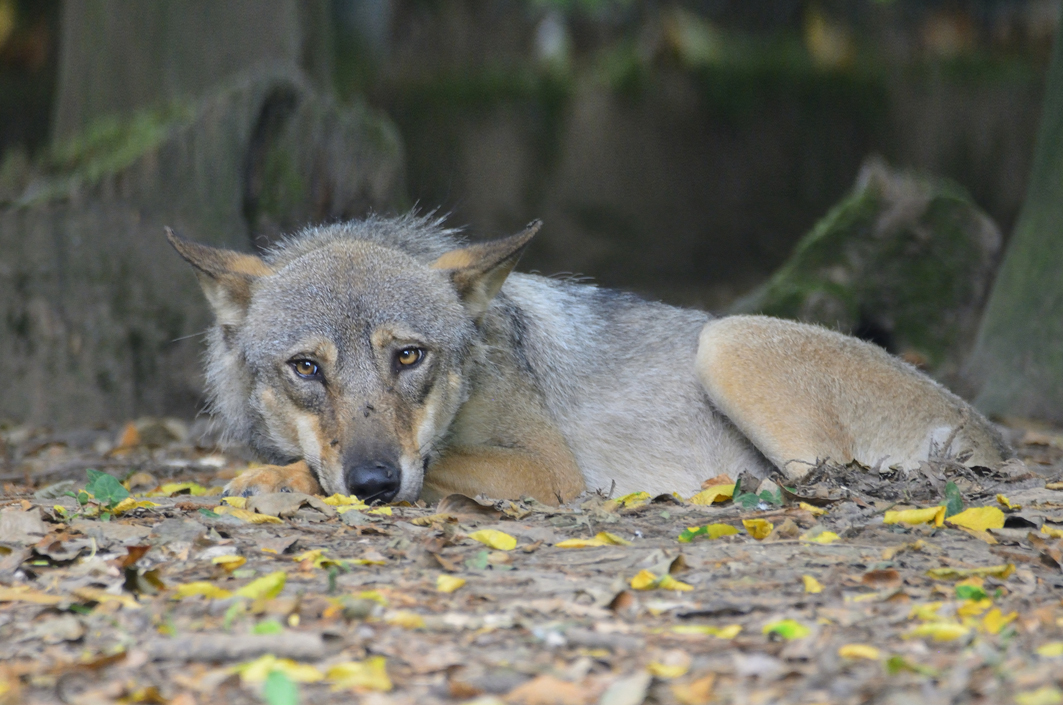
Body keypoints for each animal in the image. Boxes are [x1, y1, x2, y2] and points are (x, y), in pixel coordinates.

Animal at [167, 214, 1012, 505]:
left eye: (408, 356)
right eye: (306, 368)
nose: (374, 483)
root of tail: (997, 442)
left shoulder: (547, 469)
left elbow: (425, 466)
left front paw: (276, 480)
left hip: (726, 341)